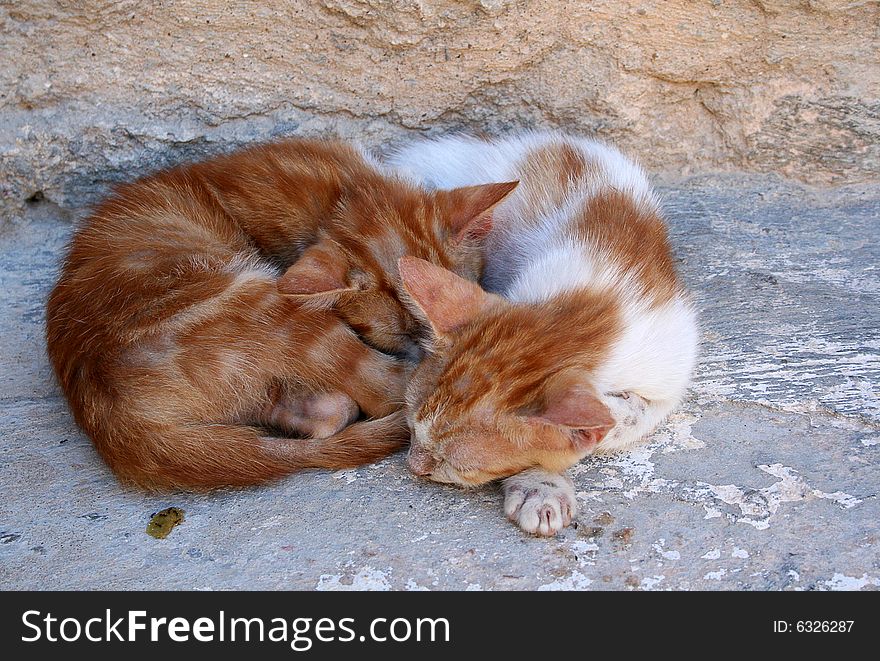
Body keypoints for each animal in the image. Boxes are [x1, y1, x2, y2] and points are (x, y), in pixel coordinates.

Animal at [46, 138, 516, 490]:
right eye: (400, 337)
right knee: (382, 391)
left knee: (324, 414)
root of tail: (111, 421)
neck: (340, 192)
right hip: (264, 298)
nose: (433, 346)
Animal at [388, 130, 696, 536]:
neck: (594, 305)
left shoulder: (673, 358)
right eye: (410, 425)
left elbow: (633, 416)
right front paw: (542, 483)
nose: (412, 466)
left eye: (457, 465)